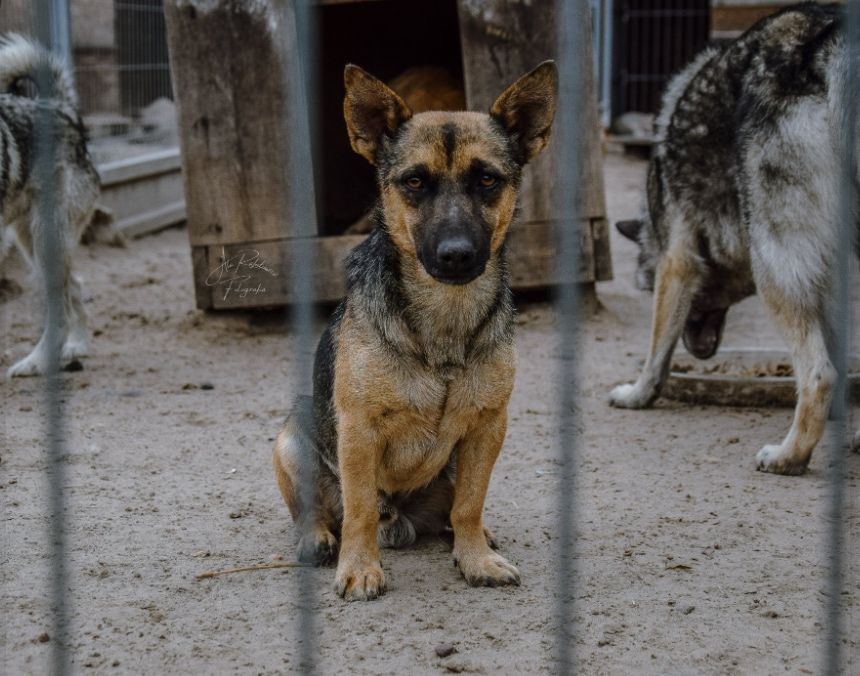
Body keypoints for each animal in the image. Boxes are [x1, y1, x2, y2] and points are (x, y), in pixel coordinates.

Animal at [276, 60, 556, 600]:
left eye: (487, 179)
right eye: (414, 182)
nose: (456, 255)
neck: (442, 317)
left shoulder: (489, 426)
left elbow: (470, 503)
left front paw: (475, 559)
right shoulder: (358, 429)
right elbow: (360, 509)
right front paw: (360, 567)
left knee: (454, 509)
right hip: (292, 436)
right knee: (319, 510)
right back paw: (318, 538)